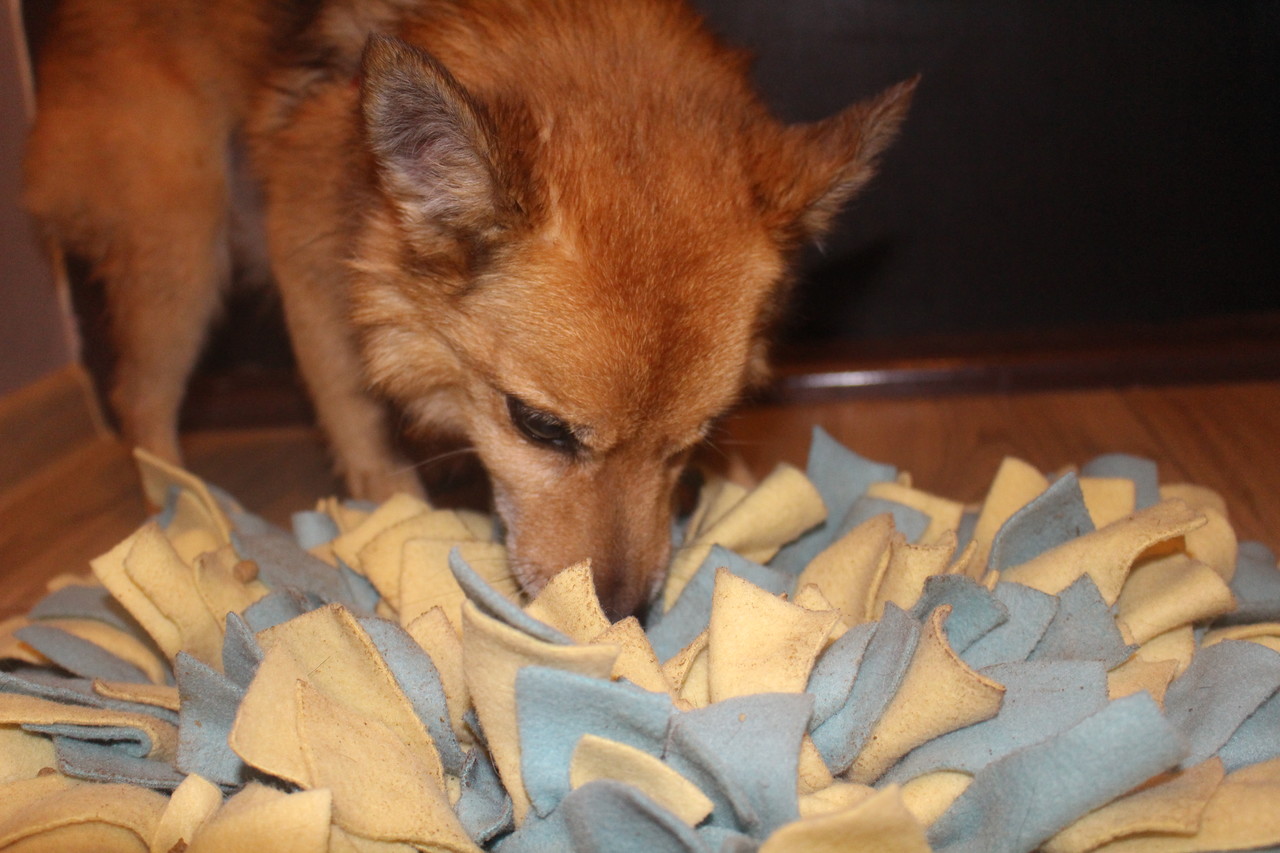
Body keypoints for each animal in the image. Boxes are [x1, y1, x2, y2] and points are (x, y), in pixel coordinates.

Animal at [24, 0, 914, 619]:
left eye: (696, 438)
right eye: (540, 428)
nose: (622, 614)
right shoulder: (306, 261)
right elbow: (359, 427)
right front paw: (388, 533)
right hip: (186, 233)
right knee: (142, 398)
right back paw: (179, 518)